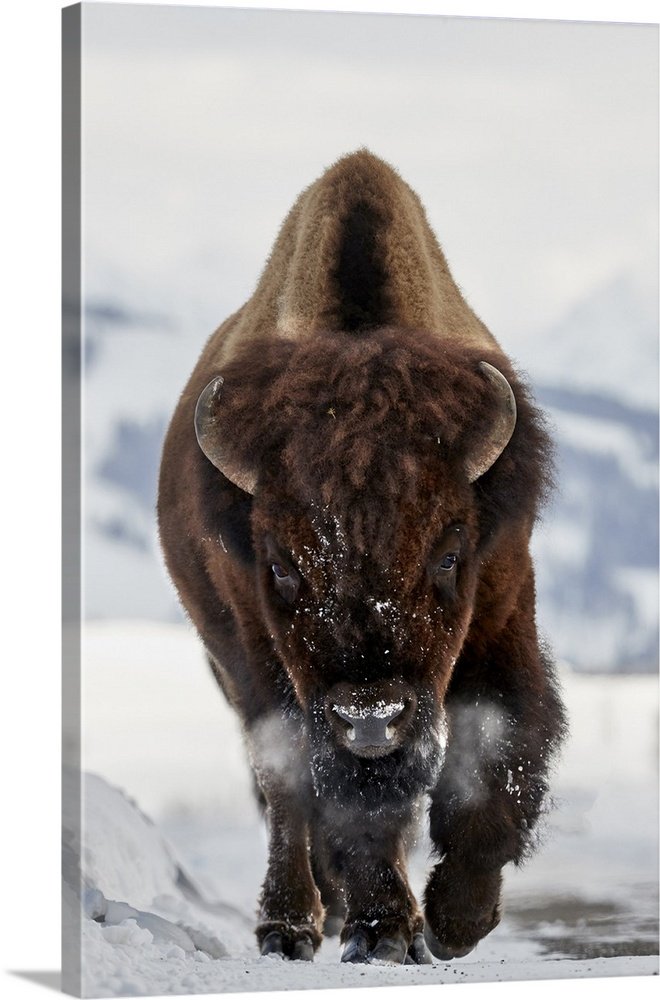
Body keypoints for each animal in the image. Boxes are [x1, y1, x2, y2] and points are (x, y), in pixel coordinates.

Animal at [158, 150, 566, 965]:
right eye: (280, 566)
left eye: (449, 553)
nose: (370, 719)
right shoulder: (265, 655)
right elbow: (331, 796)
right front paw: (383, 930)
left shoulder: (503, 611)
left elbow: (500, 750)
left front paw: (456, 921)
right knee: (286, 791)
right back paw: (292, 925)